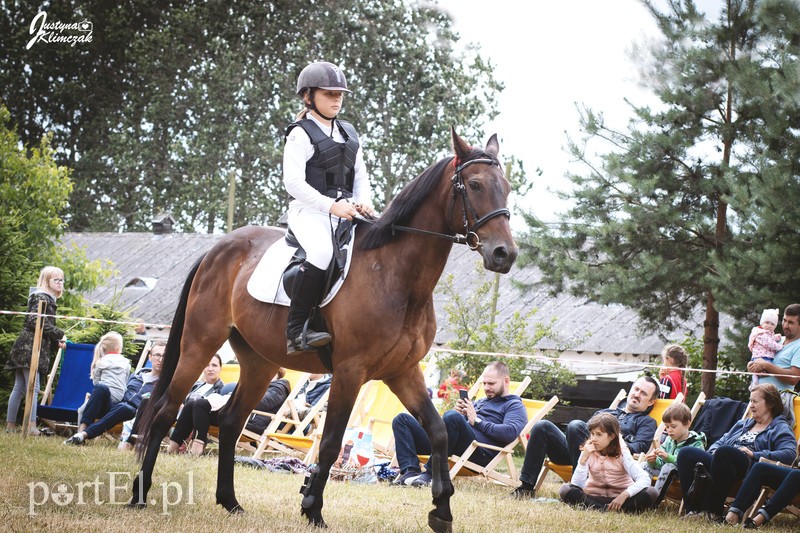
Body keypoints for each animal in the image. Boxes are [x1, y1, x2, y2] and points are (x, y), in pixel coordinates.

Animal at [131, 128, 517, 533]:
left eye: (505, 187)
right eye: (474, 185)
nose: (504, 254)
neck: (396, 276)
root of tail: (215, 251)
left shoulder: (403, 372)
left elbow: (439, 431)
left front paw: (441, 511)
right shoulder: (350, 371)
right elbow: (330, 441)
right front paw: (312, 507)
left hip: (260, 362)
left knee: (232, 421)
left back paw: (230, 502)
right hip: (199, 343)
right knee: (165, 411)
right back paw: (139, 495)